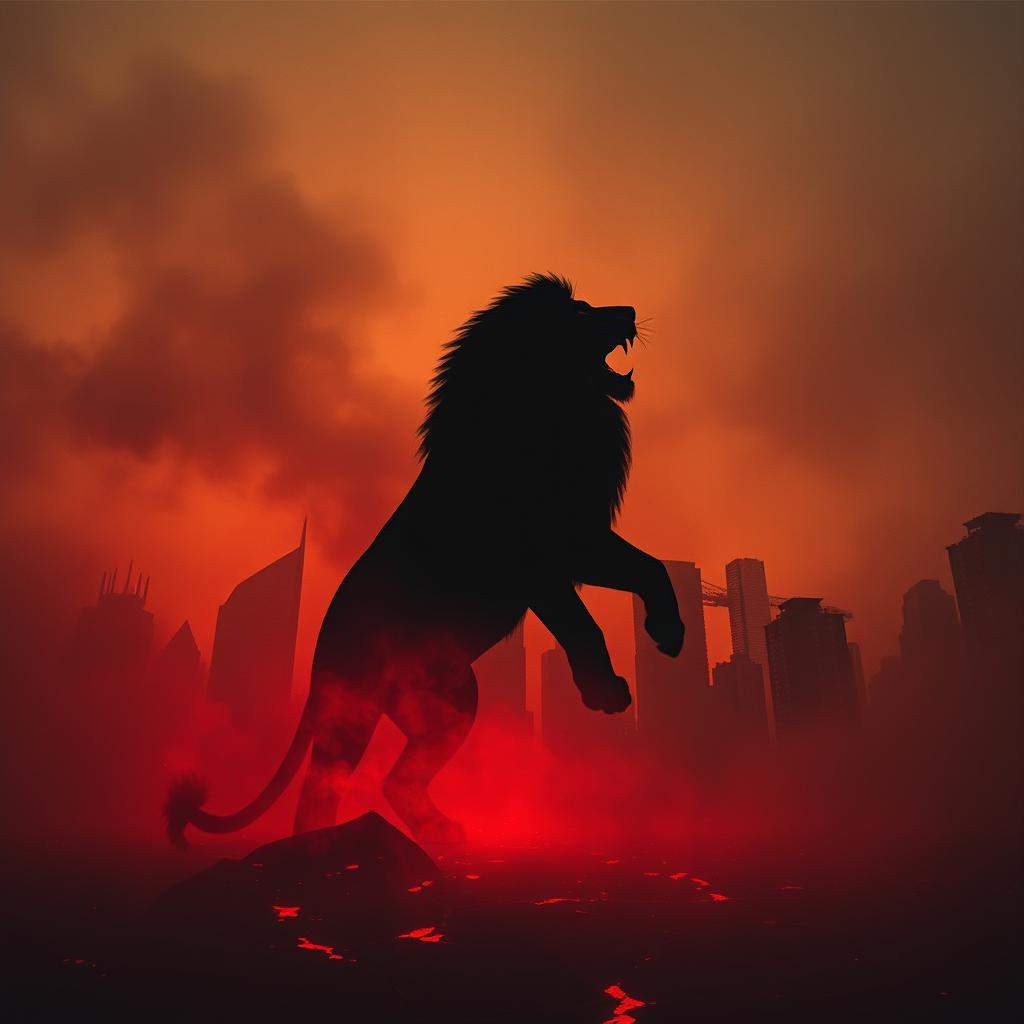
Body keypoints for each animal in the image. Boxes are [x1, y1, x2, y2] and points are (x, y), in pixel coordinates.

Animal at [166, 273, 684, 846]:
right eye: (579, 312)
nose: (631, 311)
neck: (549, 407)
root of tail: (319, 656)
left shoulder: (579, 541)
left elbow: (651, 567)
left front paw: (669, 633)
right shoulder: (539, 562)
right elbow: (583, 624)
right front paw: (605, 692)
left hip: (421, 703)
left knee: (373, 783)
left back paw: (432, 837)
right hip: (394, 702)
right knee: (343, 785)